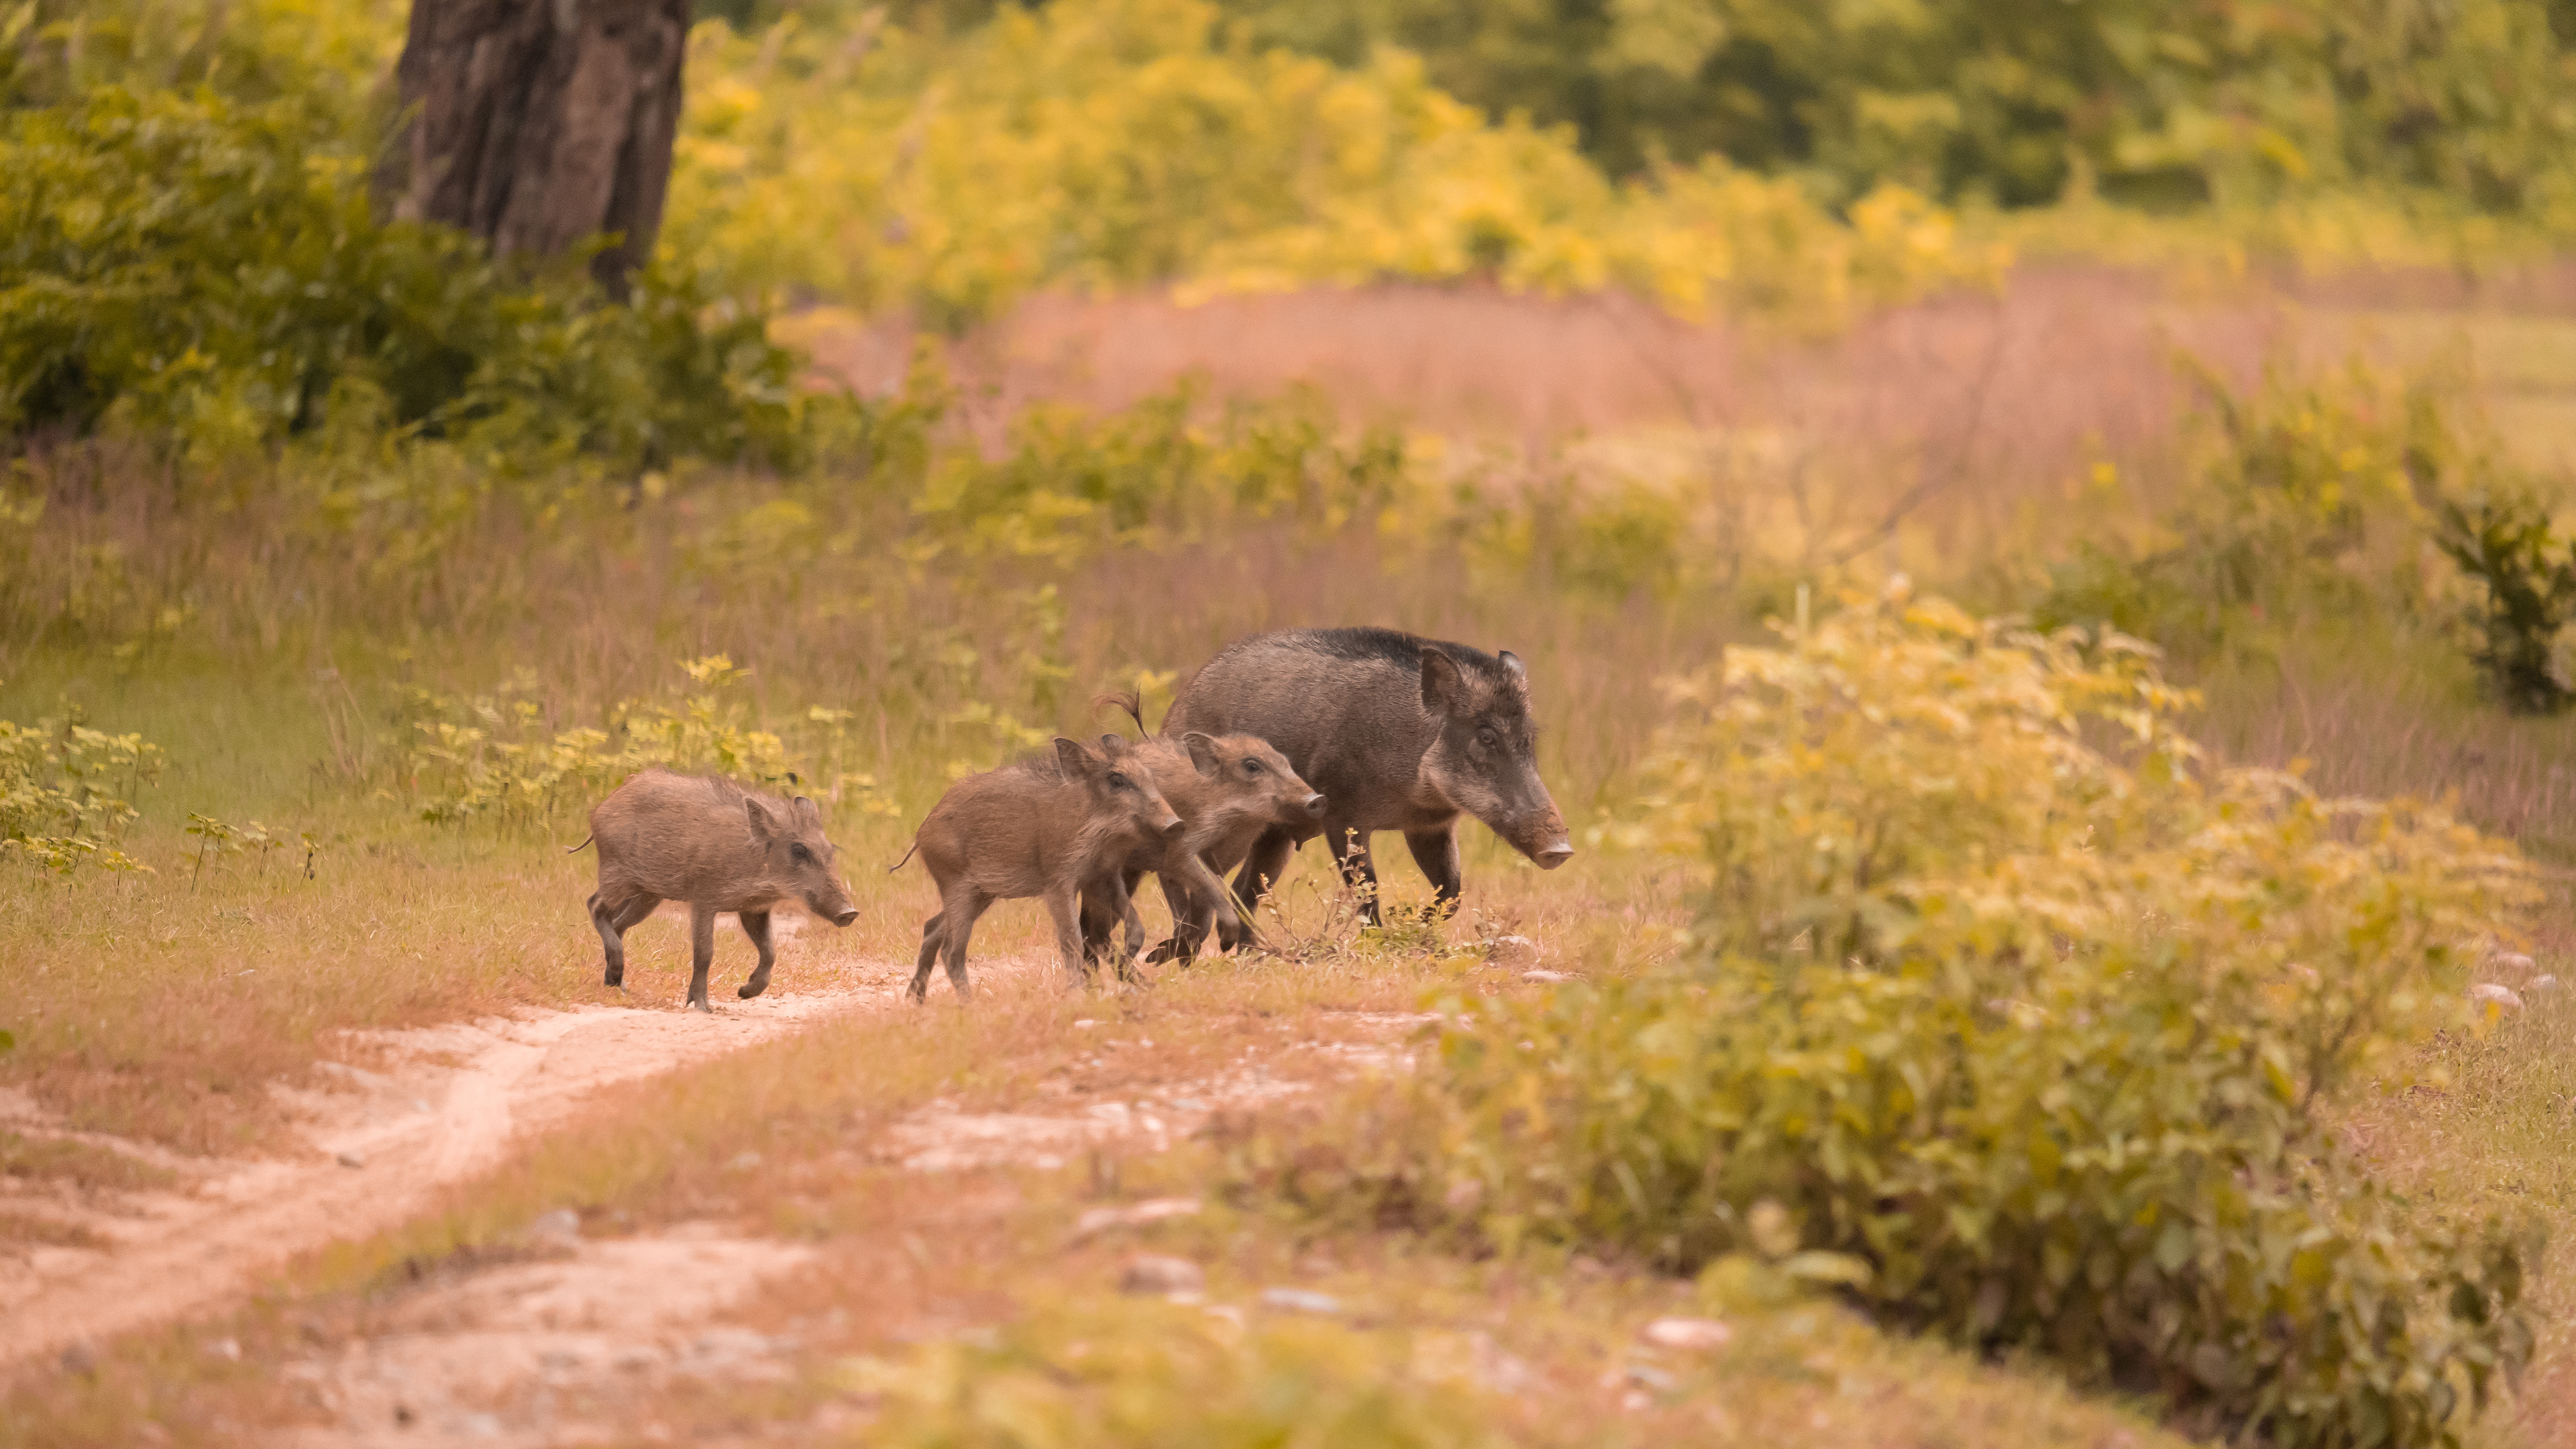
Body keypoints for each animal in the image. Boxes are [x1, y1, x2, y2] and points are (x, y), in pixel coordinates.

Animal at [576, 769, 859, 1013]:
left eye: (830, 850)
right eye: (799, 850)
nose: (850, 913)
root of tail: (602, 806)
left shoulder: (754, 909)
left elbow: (769, 952)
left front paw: (744, 993)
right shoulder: (704, 901)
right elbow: (705, 953)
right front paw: (702, 1007)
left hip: (648, 894)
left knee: (618, 923)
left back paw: (618, 986)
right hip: (618, 876)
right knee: (595, 905)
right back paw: (616, 979)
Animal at [900, 735, 1184, 1002]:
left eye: (1148, 776)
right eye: (1116, 780)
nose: (1177, 824)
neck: (1098, 831)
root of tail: (921, 833)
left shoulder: (1104, 875)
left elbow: (1136, 928)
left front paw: (1141, 979)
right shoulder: (1058, 883)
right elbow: (1071, 939)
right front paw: (1078, 994)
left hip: (981, 894)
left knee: (932, 928)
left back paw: (916, 1000)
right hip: (957, 886)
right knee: (951, 950)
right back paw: (970, 1005)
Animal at [1075, 698, 1327, 965]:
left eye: (1285, 762)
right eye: (1252, 766)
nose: (1318, 800)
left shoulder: (1221, 858)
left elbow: (1204, 903)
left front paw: (1178, 956)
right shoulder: (1181, 850)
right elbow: (1209, 889)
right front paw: (1219, 944)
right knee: (1091, 926)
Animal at [1160, 627, 1572, 923]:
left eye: (1529, 737)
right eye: (1486, 736)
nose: (1561, 850)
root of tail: (1171, 715)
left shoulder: (1430, 827)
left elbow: (1452, 890)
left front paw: (1417, 923)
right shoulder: (1342, 816)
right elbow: (1367, 890)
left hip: (1275, 837)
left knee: (1244, 890)